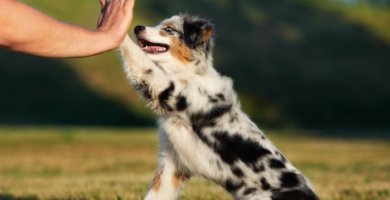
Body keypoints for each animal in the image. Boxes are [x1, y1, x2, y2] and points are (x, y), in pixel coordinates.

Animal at [117, 14, 318, 200]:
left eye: (168, 29)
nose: (137, 27)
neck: (187, 73)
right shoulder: (173, 161)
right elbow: (157, 193)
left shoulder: (171, 91)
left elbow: (143, 63)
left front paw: (119, 30)